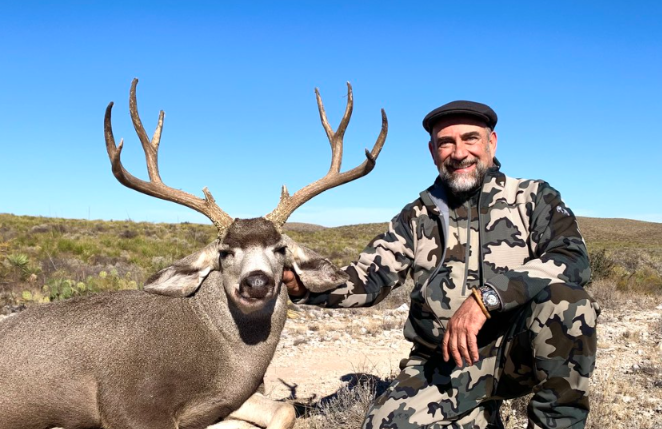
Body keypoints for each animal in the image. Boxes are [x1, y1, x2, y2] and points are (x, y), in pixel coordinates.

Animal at [0, 79, 387, 429]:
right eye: (225, 252)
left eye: (280, 249)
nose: (257, 282)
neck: (220, 355)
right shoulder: (131, 402)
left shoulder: (228, 400)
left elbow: (285, 411)